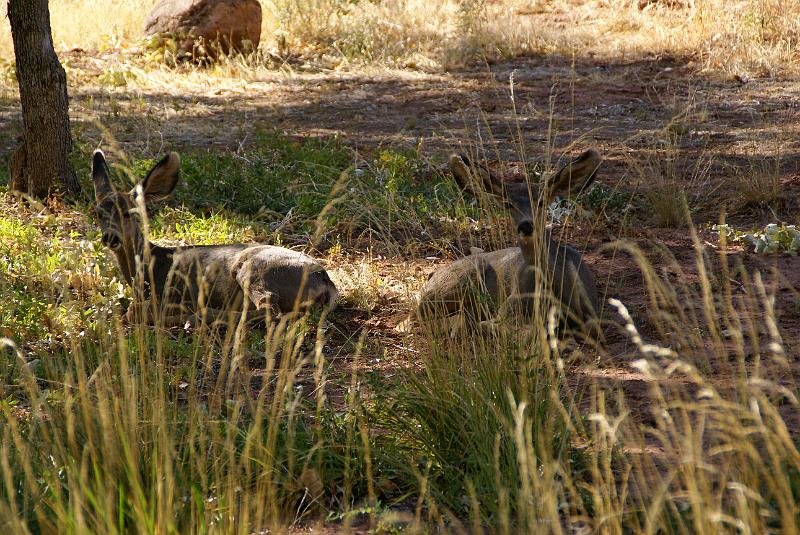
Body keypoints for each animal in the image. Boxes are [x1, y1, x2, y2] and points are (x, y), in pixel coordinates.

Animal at [91, 149, 338, 328]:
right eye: (98, 212)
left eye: (129, 213)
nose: (111, 237)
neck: (150, 266)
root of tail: (326, 281)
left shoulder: (176, 292)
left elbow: (133, 311)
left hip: (257, 270)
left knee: (269, 310)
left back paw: (195, 317)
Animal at [416, 150, 604, 336]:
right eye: (508, 204)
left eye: (541, 202)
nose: (526, 225)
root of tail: (434, 274)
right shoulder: (512, 302)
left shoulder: (592, 311)